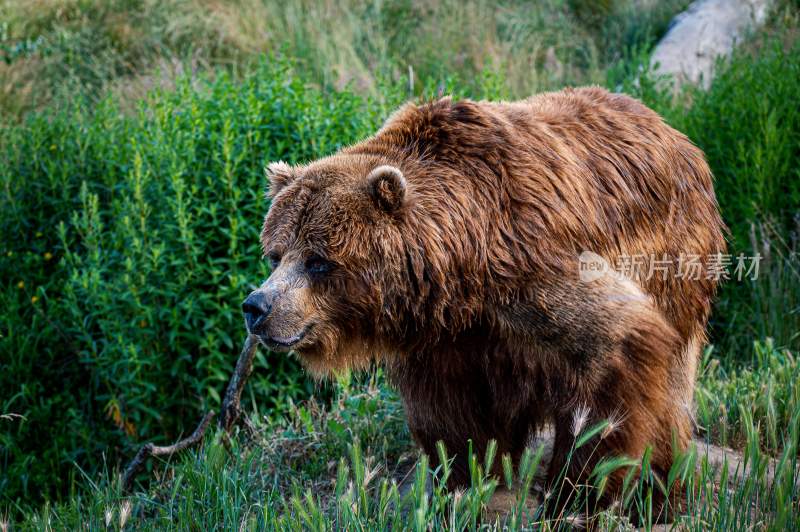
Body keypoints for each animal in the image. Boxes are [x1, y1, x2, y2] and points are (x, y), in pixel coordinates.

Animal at [242, 87, 724, 520]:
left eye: (318, 260)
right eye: (276, 253)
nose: (258, 306)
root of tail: (675, 134)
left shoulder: (530, 265)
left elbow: (614, 351)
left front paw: (572, 495)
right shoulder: (448, 342)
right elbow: (455, 424)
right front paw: (464, 489)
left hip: (674, 260)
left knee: (668, 394)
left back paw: (659, 496)